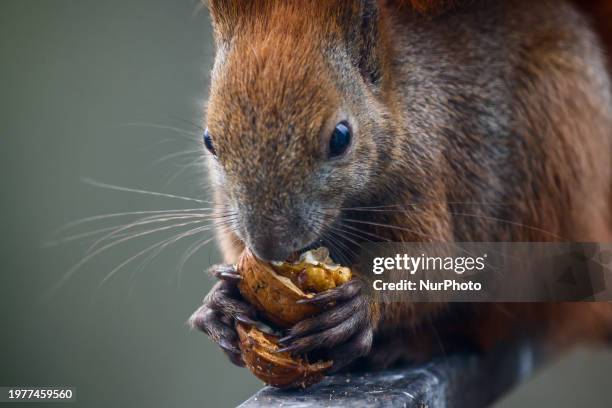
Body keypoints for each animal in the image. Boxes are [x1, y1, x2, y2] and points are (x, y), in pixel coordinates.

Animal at [190, 0, 612, 370]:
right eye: (210, 141)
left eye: (341, 137)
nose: (269, 245)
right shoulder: (228, 210)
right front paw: (218, 304)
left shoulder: (423, 180)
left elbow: (436, 266)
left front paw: (363, 305)